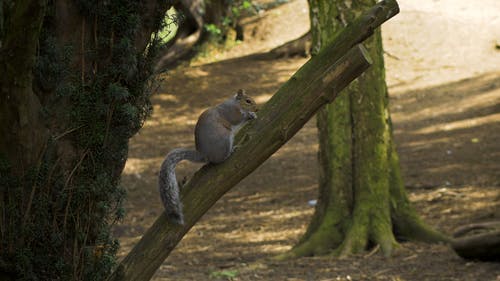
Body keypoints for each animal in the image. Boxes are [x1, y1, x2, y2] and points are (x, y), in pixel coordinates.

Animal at [158, 88, 258, 224]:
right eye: (248, 101)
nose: (257, 109)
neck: (235, 103)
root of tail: (204, 154)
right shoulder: (230, 112)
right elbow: (237, 119)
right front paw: (249, 115)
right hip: (225, 138)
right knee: (220, 160)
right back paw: (231, 152)